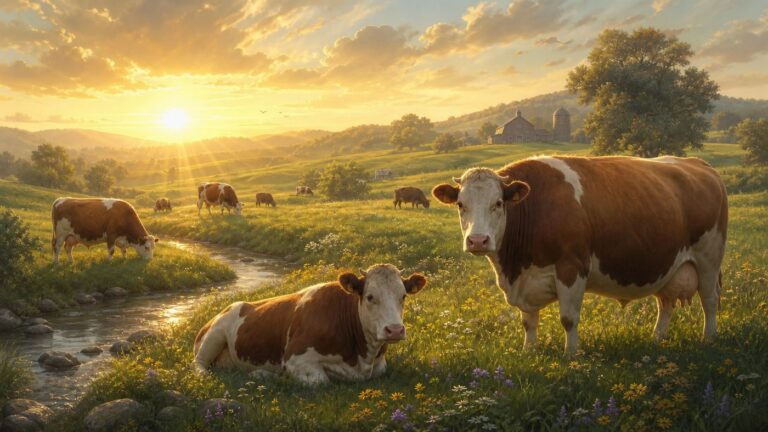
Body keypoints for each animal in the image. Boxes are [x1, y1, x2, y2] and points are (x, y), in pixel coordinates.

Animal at [193, 264, 427, 384]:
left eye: (403, 296)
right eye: (370, 297)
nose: (394, 330)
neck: (360, 358)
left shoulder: (379, 367)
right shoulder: (295, 357)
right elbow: (320, 381)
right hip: (214, 335)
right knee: (198, 364)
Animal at [432, 156, 728, 353]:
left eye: (498, 203)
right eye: (461, 204)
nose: (477, 240)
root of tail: (697, 163)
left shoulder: (571, 266)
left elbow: (568, 318)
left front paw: (571, 356)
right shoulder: (526, 280)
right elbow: (528, 322)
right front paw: (529, 351)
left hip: (709, 258)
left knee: (709, 299)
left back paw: (709, 338)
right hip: (668, 264)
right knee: (665, 302)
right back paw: (657, 338)